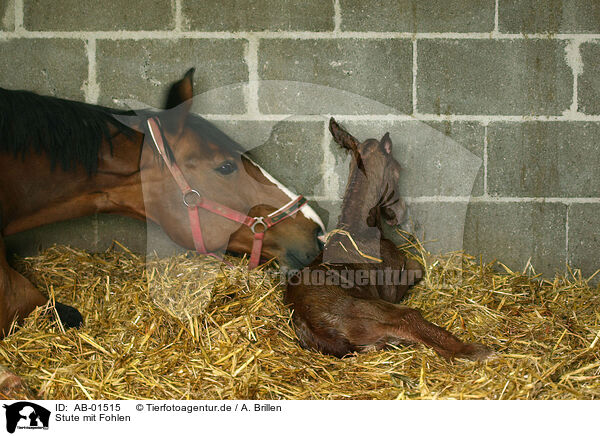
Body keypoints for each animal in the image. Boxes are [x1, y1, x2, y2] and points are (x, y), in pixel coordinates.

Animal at [286, 120, 492, 362]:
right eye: (397, 170)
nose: (398, 214)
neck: (359, 229)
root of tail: (322, 329)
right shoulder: (391, 287)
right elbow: (416, 266)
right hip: (379, 311)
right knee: (410, 318)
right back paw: (475, 351)